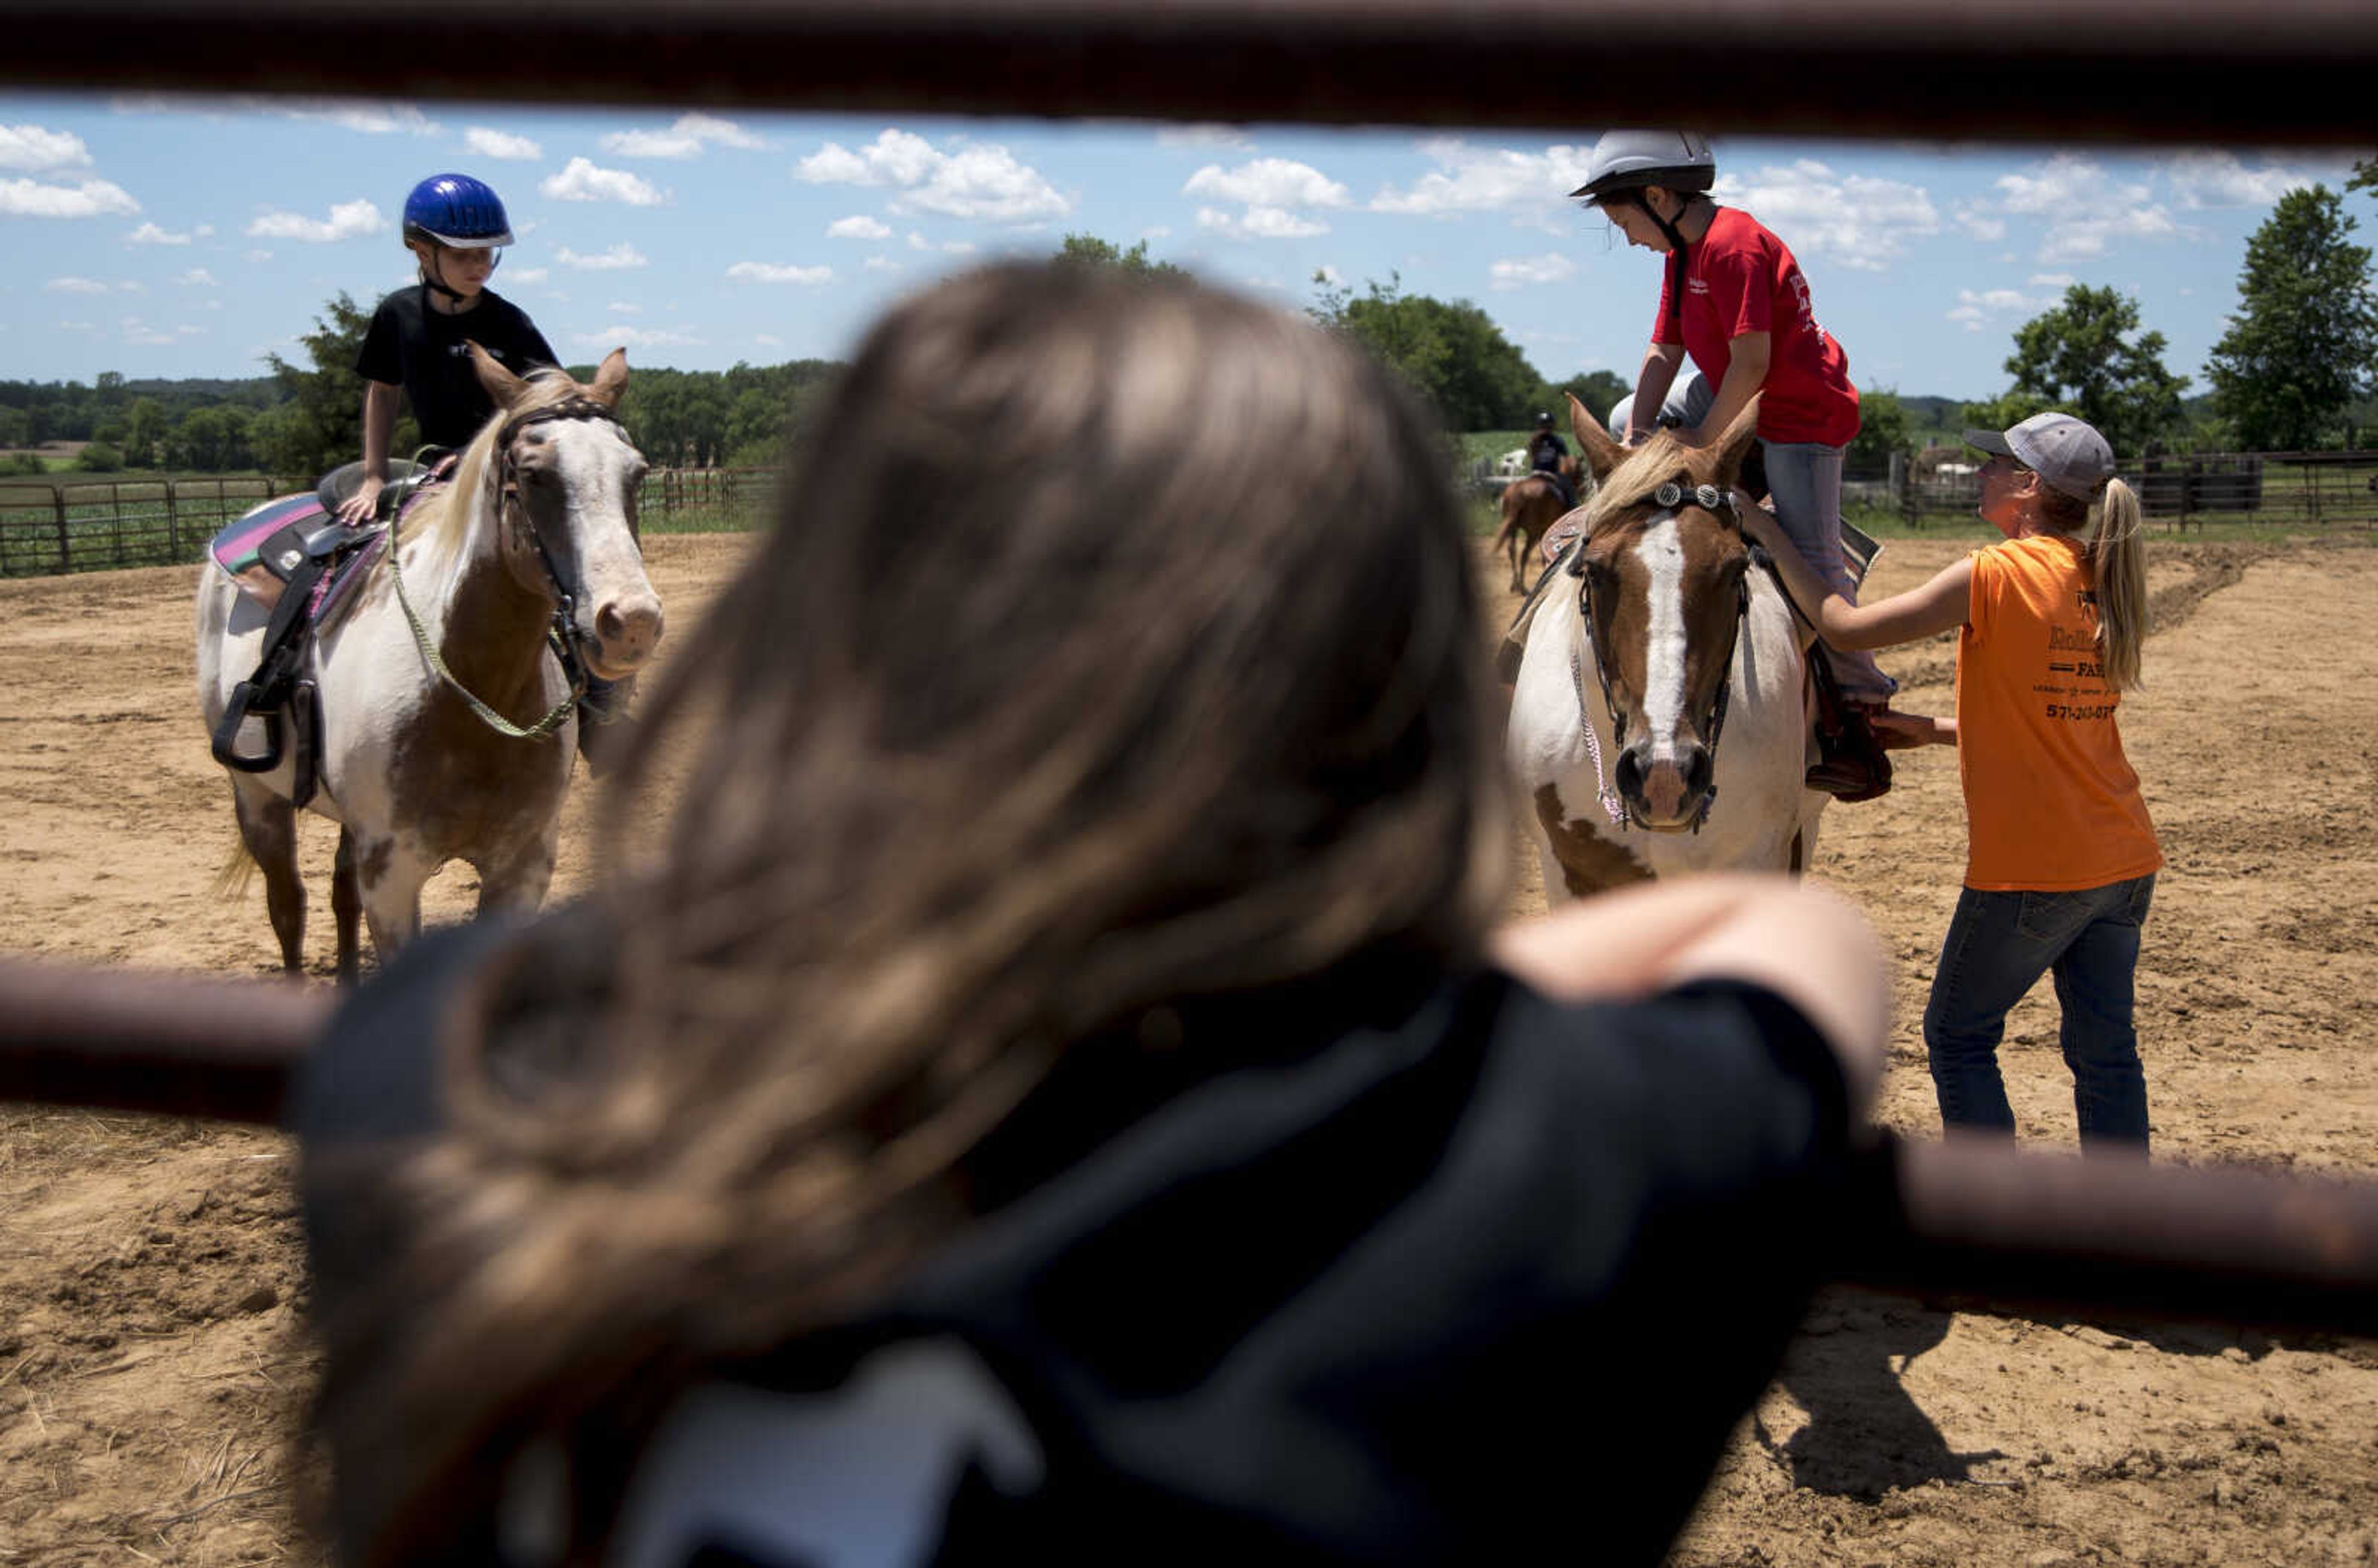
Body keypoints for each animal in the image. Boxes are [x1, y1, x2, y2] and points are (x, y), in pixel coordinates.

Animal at [193, 349, 661, 975]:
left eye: (637, 473)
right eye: (533, 474)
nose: (631, 622)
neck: (470, 693)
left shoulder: (521, 868)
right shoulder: (393, 879)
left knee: (340, 895)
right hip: (257, 798)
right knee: (288, 906)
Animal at [1493, 464, 1588, 597]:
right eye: (1580, 472)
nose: (1584, 490)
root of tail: (1518, 493)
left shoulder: (1543, 531)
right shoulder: (1543, 530)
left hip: (1514, 529)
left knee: (1512, 551)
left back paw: (1515, 586)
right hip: (1532, 532)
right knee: (1524, 554)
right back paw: (1523, 588)